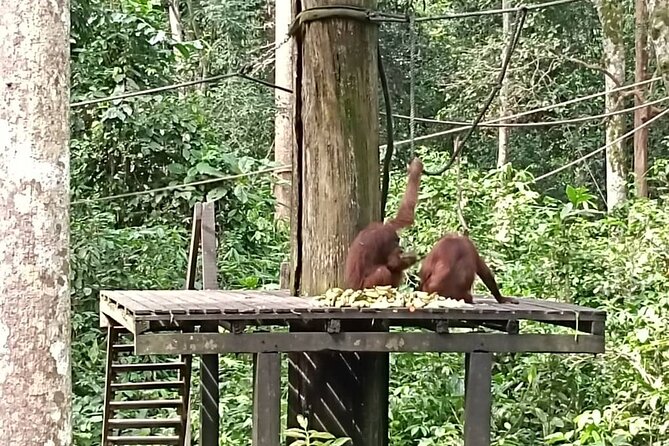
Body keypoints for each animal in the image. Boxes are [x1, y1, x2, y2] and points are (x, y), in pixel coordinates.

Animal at [344, 158, 423, 290]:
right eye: (396, 242)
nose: (400, 248)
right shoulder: (387, 236)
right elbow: (393, 262)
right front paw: (415, 168)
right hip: (366, 286)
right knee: (383, 271)